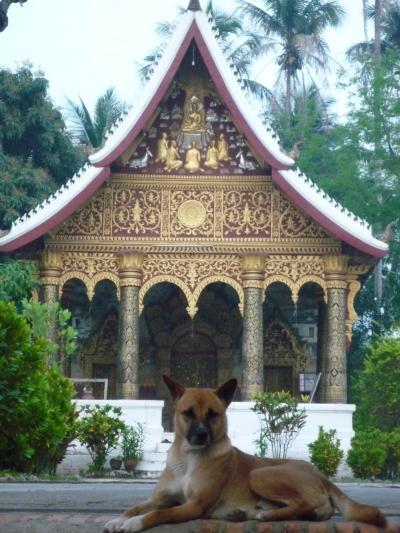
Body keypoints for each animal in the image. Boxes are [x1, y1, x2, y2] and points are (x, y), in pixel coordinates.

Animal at [104, 376, 388, 528]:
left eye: (213, 414)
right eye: (188, 414)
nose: (201, 436)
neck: (188, 459)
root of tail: (321, 476)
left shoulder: (194, 505)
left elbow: (159, 514)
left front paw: (134, 524)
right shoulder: (161, 497)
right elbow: (137, 506)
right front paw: (119, 519)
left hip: (261, 474)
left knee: (304, 504)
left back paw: (265, 514)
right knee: (311, 510)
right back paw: (245, 513)